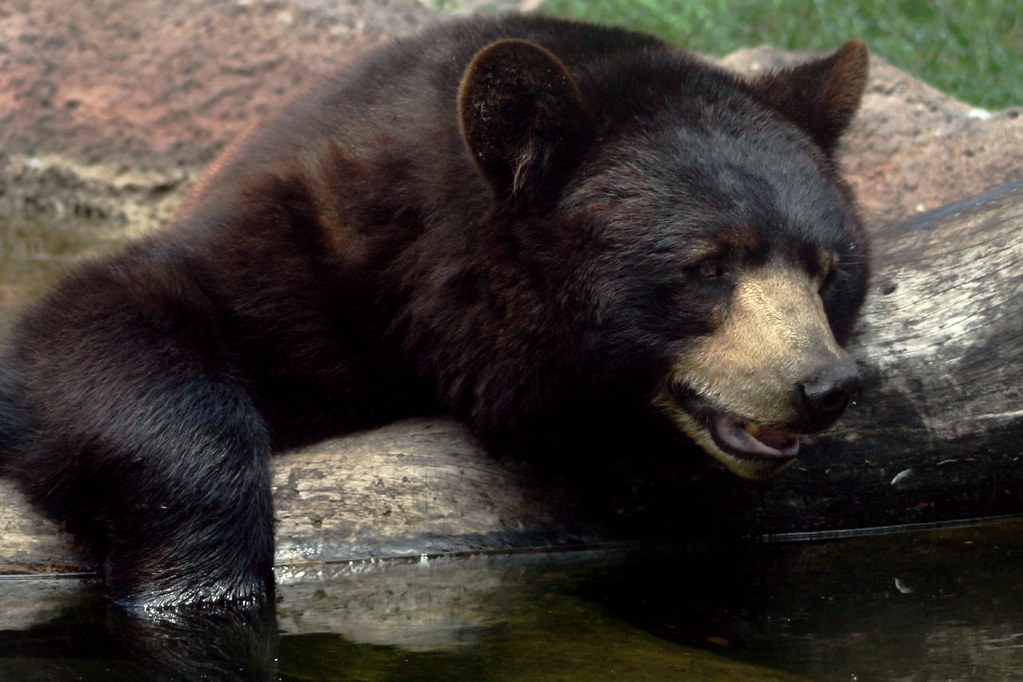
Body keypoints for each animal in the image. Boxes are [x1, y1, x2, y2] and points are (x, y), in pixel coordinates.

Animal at [0, 14, 869, 614]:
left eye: (826, 269)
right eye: (707, 266)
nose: (823, 384)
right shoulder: (306, 257)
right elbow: (99, 324)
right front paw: (198, 580)